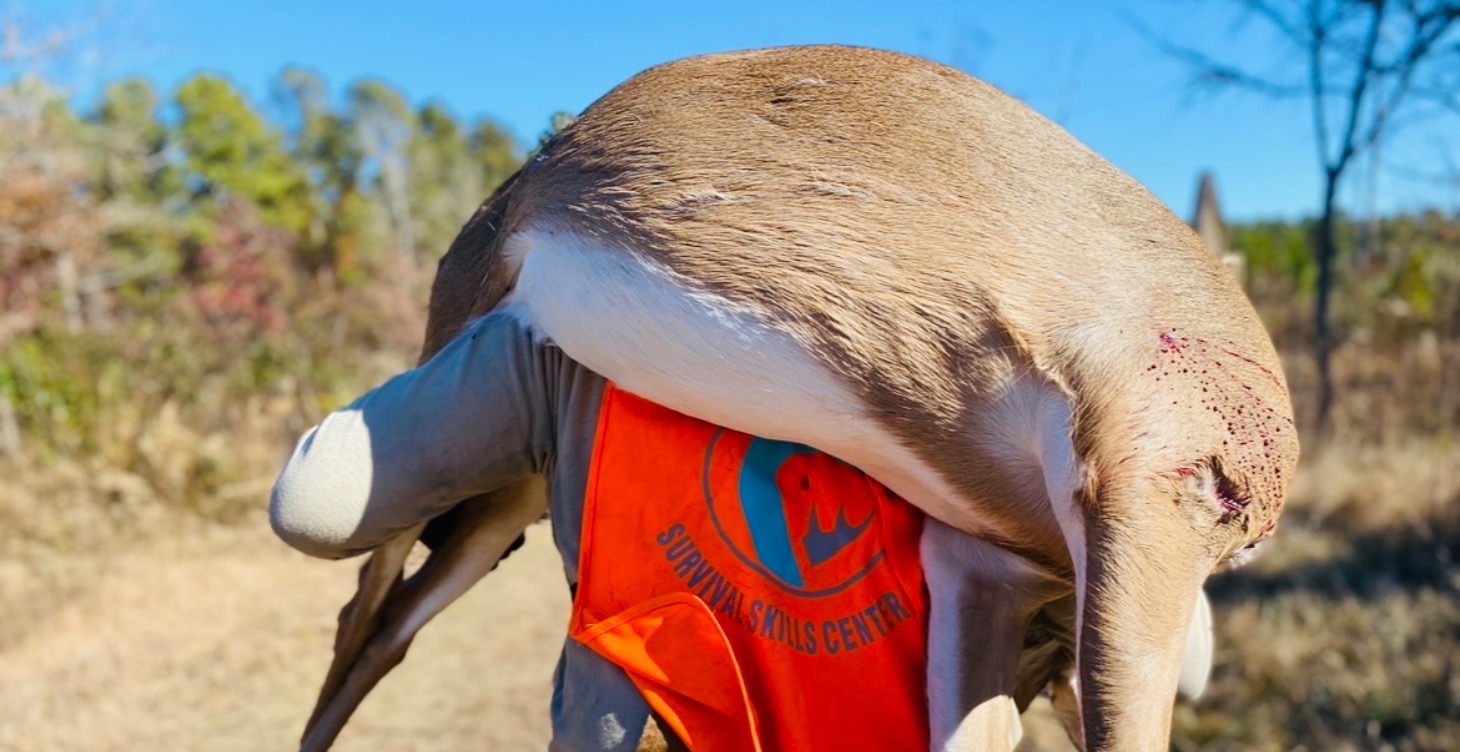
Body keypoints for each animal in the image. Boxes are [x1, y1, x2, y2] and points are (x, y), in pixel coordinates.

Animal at [290, 45, 1296, 751]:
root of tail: (526, 181)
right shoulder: (1147, 493)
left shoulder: (982, 565)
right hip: (449, 387)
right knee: (354, 599)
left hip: (505, 495)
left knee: (384, 623)